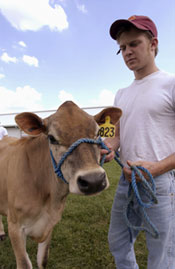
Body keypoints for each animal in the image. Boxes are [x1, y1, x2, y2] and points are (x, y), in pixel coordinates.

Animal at [0, 101, 121, 268]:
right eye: (51, 138)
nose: (94, 180)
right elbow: (24, 264)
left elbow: (43, 260)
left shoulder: (50, 223)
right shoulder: (15, 226)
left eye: (98, 133)